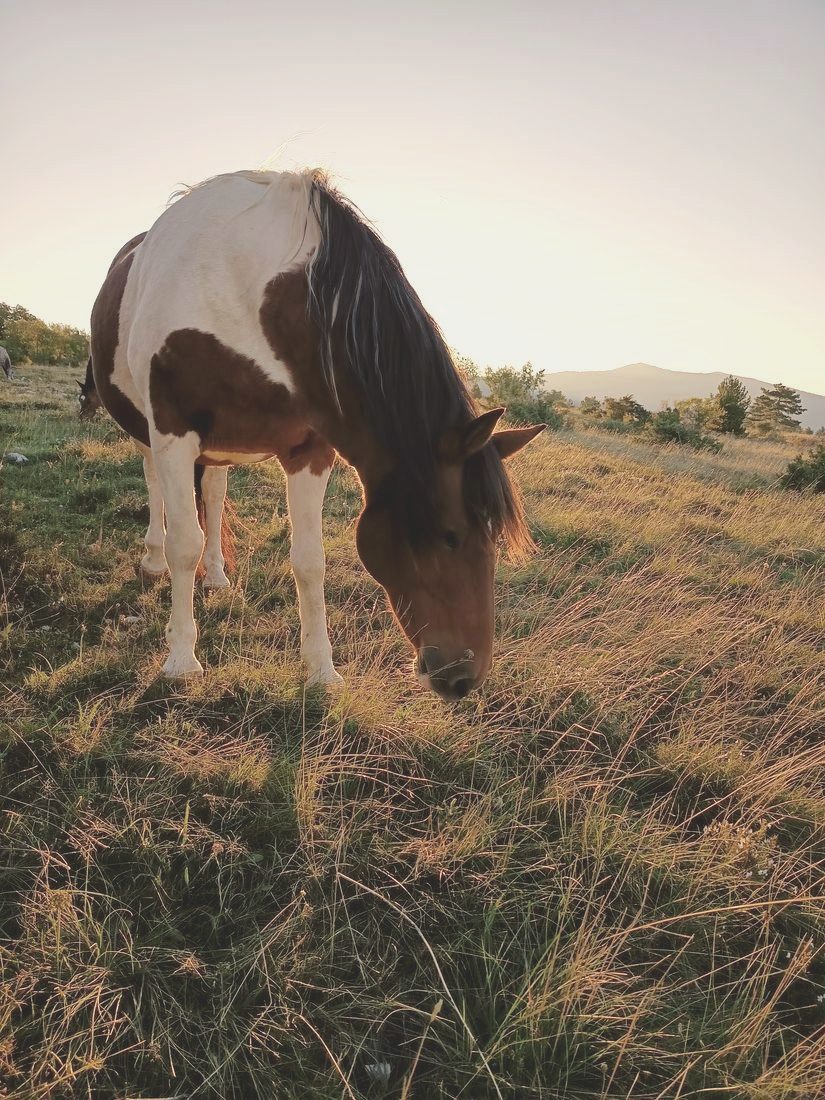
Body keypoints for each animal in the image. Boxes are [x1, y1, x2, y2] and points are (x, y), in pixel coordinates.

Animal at [89, 170, 543, 698]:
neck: (252, 294)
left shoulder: (309, 449)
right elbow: (185, 541)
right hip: (149, 434)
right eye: (450, 536)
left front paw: (322, 669)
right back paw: (154, 561)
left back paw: (217, 575)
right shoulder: (173, 431)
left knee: (215, 492)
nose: (465, 678)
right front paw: (181, 658)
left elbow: (309, 560)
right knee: (157, 488)